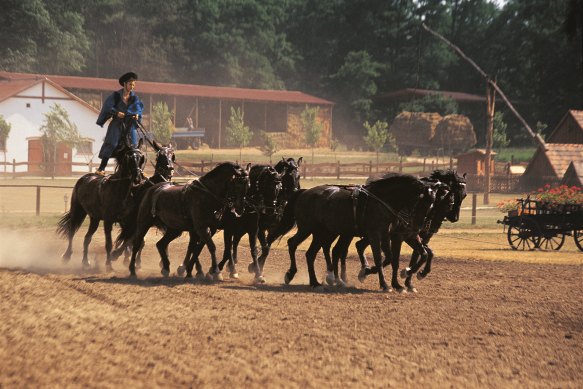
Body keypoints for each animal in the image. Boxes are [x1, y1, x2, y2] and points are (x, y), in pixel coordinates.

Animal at [56, 139, 145, 270]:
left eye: (141, 158)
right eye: (128, 158)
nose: (138, 178)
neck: (120, 190)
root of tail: (85, 177)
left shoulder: (126, 222)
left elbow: (129, 240)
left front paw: (116, 256)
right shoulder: (108, 221)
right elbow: (108, 243)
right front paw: (109, 265)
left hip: (95, 218)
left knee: (87, 238)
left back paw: (85, 261)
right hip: (78, 212)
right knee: (71, 232)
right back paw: (67, 256)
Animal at [266, 174, 436, 290]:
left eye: (432, 204)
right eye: (421, 200)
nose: (419, 226)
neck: (383, 201)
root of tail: (305, 192)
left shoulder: (389, 236)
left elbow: (395, 258)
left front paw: (397, 280)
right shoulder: (378, 236)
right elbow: (381, 259)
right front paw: (384, 283)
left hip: (325, 233)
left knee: (315, 253)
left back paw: (319, 281)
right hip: (309, 229)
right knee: (294, 244)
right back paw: (295, 274)